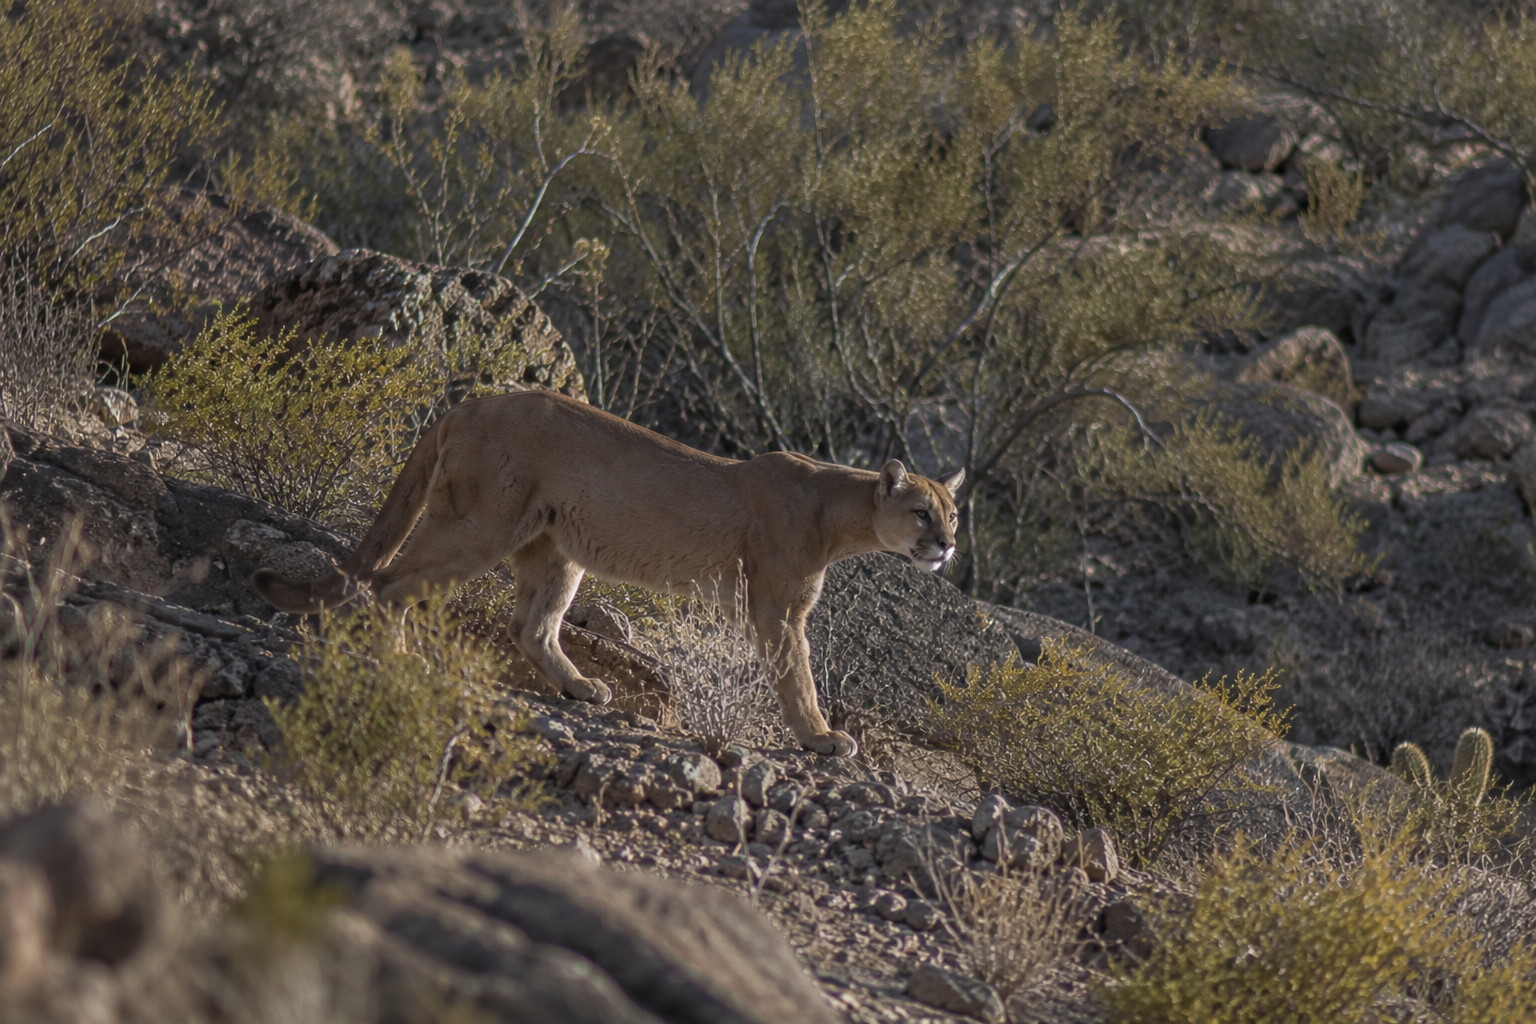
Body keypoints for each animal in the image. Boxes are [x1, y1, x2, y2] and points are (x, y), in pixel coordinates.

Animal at [252, 390, 963, 757]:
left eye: (954, 514)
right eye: (922, 513)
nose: (949, 546)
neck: (837, 510)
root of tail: (468, 403)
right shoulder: (777, 607)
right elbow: (798, 676)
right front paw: (821, 738)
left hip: (555, 549)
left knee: (531, 625)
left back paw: (581, 687)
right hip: (478, 525)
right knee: (389, 584)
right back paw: (398, 658)